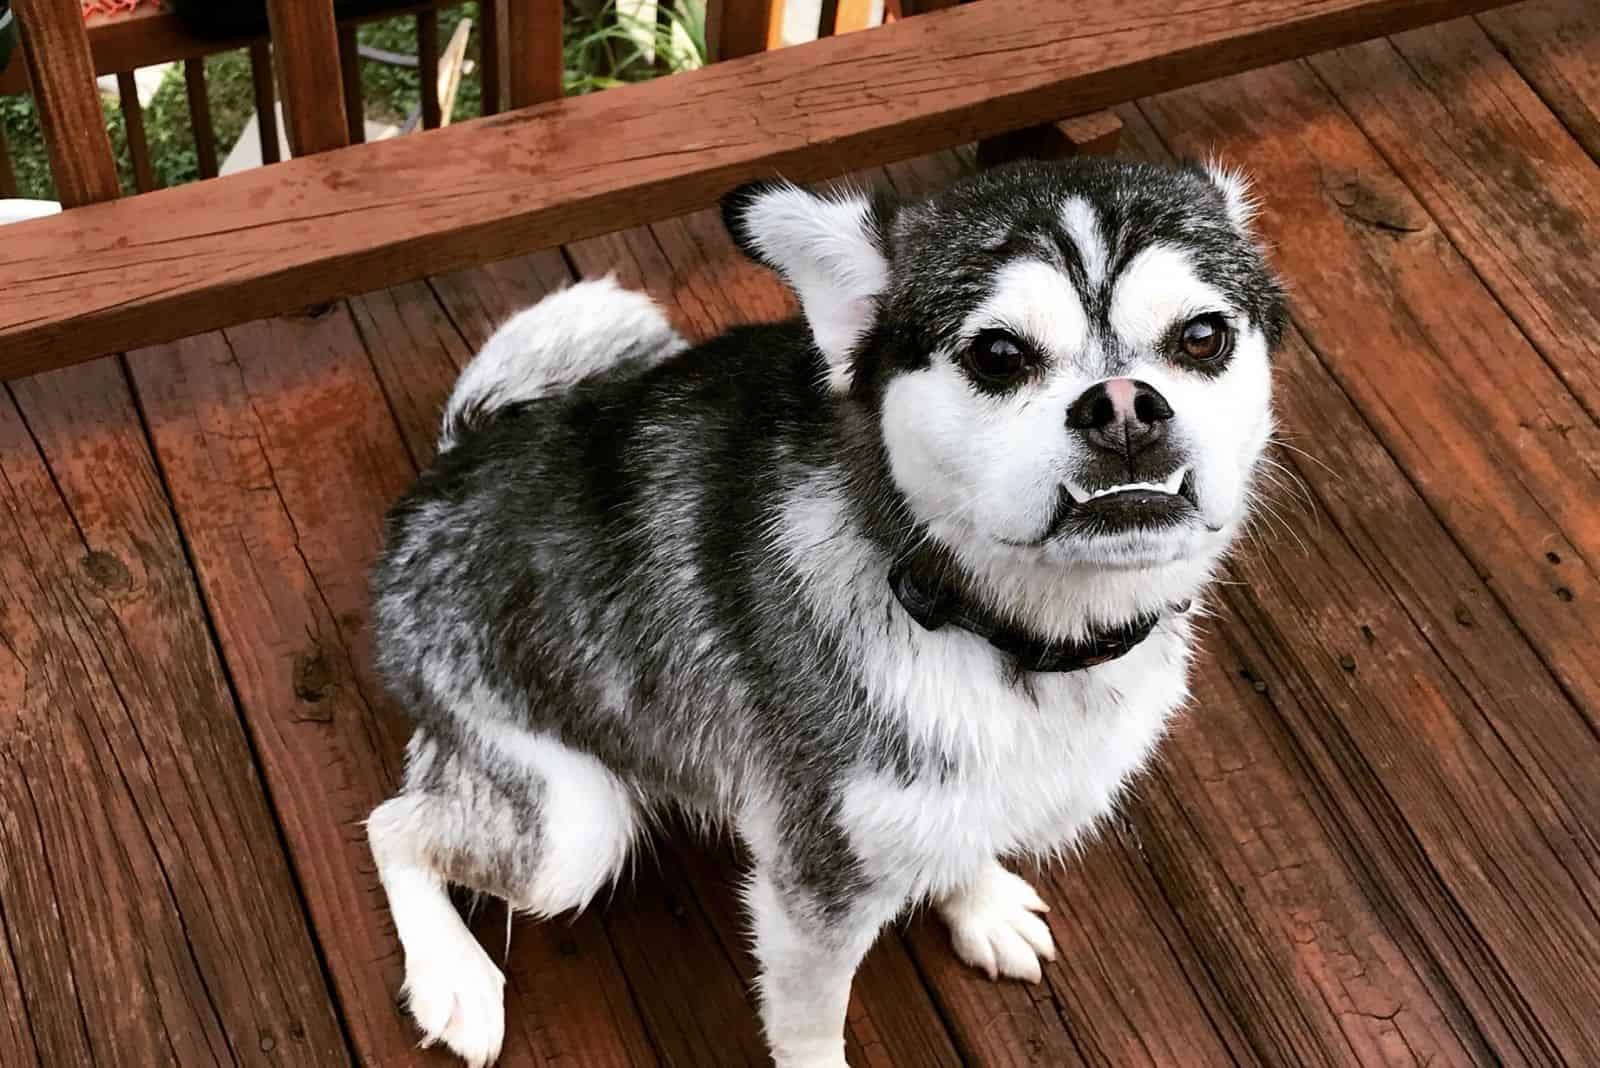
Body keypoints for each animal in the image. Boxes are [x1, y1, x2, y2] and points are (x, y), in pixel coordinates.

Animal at [366, 154, 1286, 1061]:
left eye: (1203, 336)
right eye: (997, 353)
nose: (1123, 405)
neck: (997, 630)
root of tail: (445, 469)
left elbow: (965, 832)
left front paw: (980, 901)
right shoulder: (815, 888)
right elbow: (813, 1028)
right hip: (570, 830)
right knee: (392, 824)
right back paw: (455, 978)